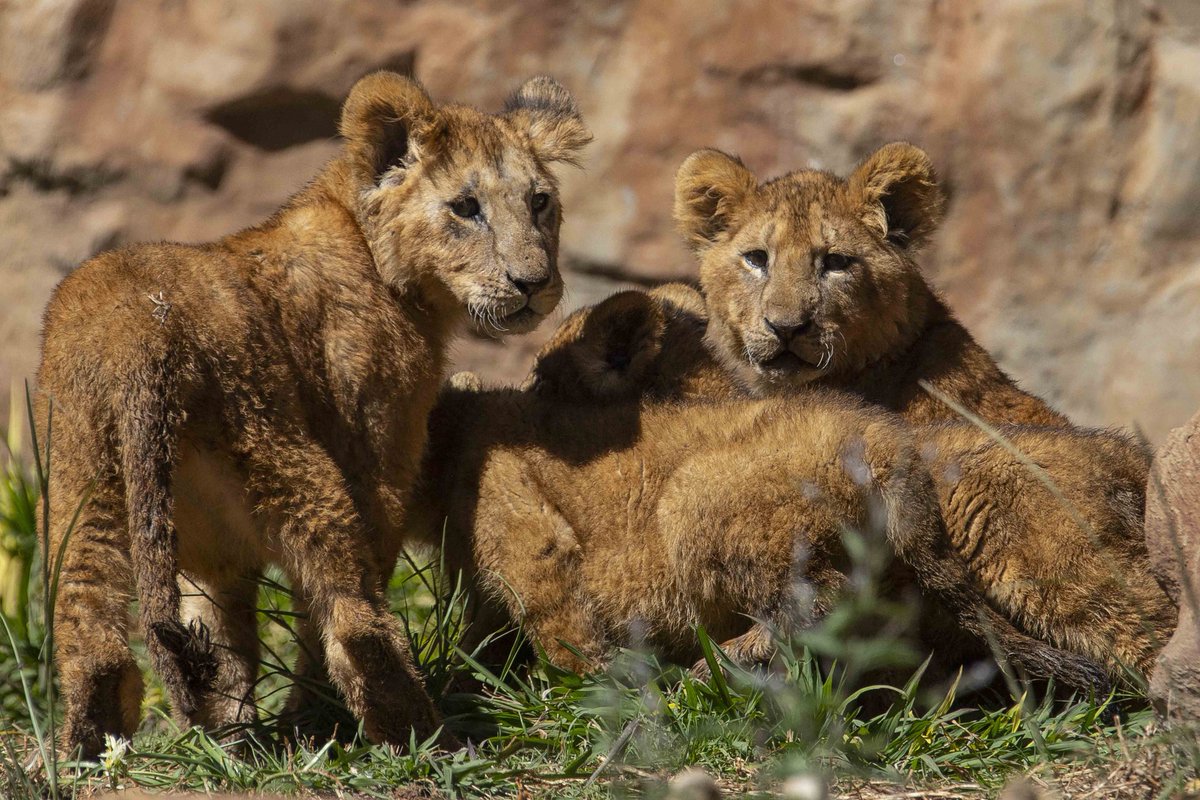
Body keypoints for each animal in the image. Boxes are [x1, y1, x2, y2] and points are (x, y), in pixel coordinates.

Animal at [36, 70, 589, 756]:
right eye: (466, 208)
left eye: (539, 201)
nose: (533, 283)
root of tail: (145, 344)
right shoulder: (376, 462)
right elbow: (311, 624)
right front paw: (303, 724)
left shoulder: (216, 555)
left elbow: (227, 640)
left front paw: (235, 740)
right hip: (293, 465)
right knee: (355, 623)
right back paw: (426, 737)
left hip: (82, 491)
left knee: (92, 639)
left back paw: (92, 753)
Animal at [405, 295, 1111, 694]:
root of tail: (892, 452)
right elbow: (485, 631)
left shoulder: (521, 516)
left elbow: (558, 618)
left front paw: (586, 691)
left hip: (697, 500)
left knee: (815, 604)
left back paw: (709, 671)